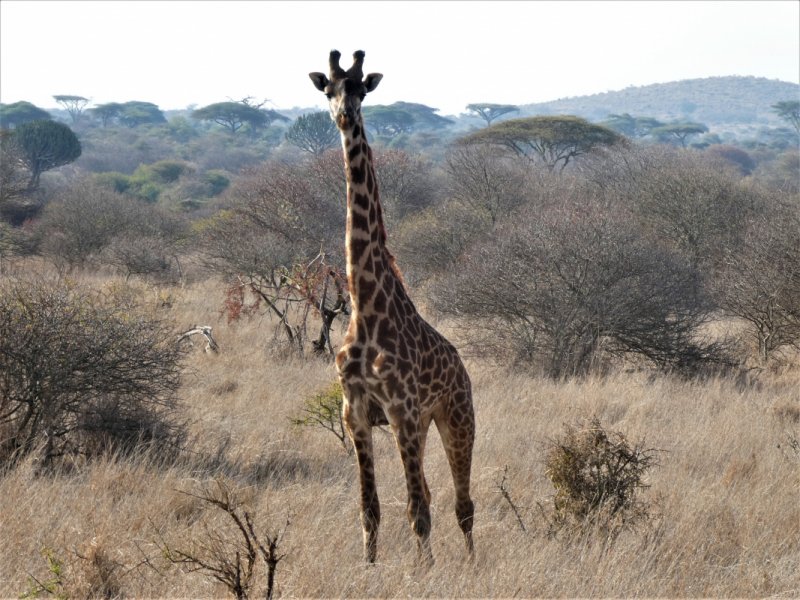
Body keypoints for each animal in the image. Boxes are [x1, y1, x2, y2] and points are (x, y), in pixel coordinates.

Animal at [309, 50, 475, 565]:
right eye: (328, 89)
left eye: (362, 89)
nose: (345, 116)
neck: (365, 306)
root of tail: (461, 365)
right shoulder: (356, 413)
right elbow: (372, 509)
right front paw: (370, 568)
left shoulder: (401, 410)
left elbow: (417, 510)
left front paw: (425, 574)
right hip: (420, 427)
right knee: (431, 497)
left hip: (455, 416)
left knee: (462, 504)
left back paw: (470, 564)